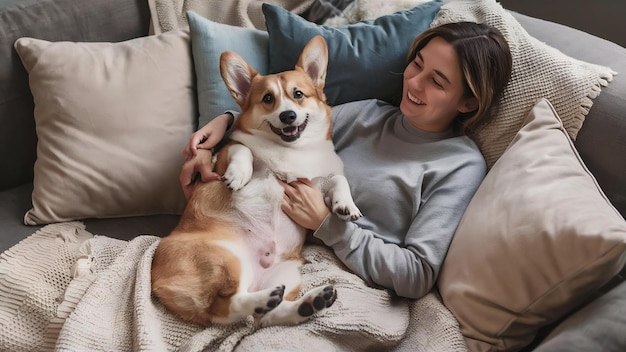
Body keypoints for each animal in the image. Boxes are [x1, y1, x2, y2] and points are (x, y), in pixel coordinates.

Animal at [149, 35, 360, 328]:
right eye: (268, 98)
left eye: (298, 94)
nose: (287, 116)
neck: (292, 150)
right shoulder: (225, 154)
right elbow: (243, 150)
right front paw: (238, 176)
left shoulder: (318, 181)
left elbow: (339, 179)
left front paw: (346, 206)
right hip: (225, 257)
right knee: (226, 306)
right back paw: (265, 299)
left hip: (287, 272)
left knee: (265, 316)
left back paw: (309, 303)